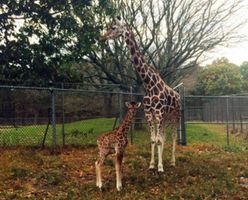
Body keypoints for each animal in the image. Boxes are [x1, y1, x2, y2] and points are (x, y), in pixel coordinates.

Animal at [101, 18, 180, 173]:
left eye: (113, 27)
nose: (103, 37)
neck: (149, 84)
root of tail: (178, 94)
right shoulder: (150, 113)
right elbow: (154, 139)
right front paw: (152, 165)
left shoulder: (159, 112)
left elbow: (158, 139)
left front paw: (160, 167)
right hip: (165, 117)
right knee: (163, 135)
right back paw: (164, 160)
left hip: (175, 114)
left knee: (173, 135)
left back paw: (173, 162)